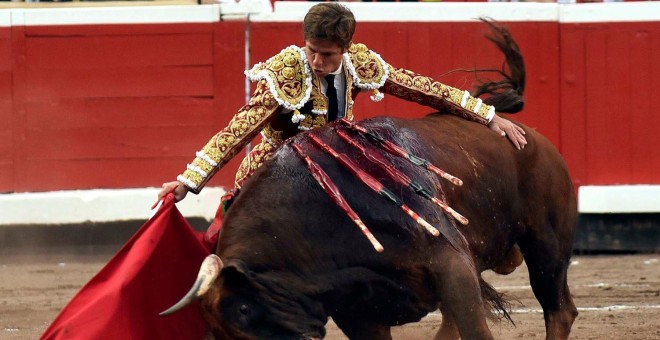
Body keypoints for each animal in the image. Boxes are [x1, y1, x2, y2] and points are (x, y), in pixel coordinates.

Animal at [161, 21, 576, 340]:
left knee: (559, 309)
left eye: (244, 309)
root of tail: (534, 137)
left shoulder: (453, 265)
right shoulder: (357, 311)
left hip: (546, 243)